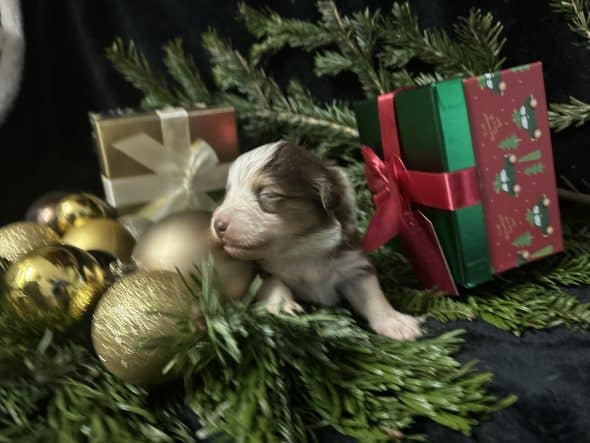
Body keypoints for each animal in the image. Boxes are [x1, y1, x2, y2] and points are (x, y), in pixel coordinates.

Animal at [210, 140, 424, 342]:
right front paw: (284, 307)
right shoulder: (263, 269)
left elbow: (373, 294)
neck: (300, 248)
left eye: (267, 194)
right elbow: (273, 284)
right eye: (227, 193)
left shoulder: (352, 262)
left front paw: (396, 321)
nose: (217, 225)